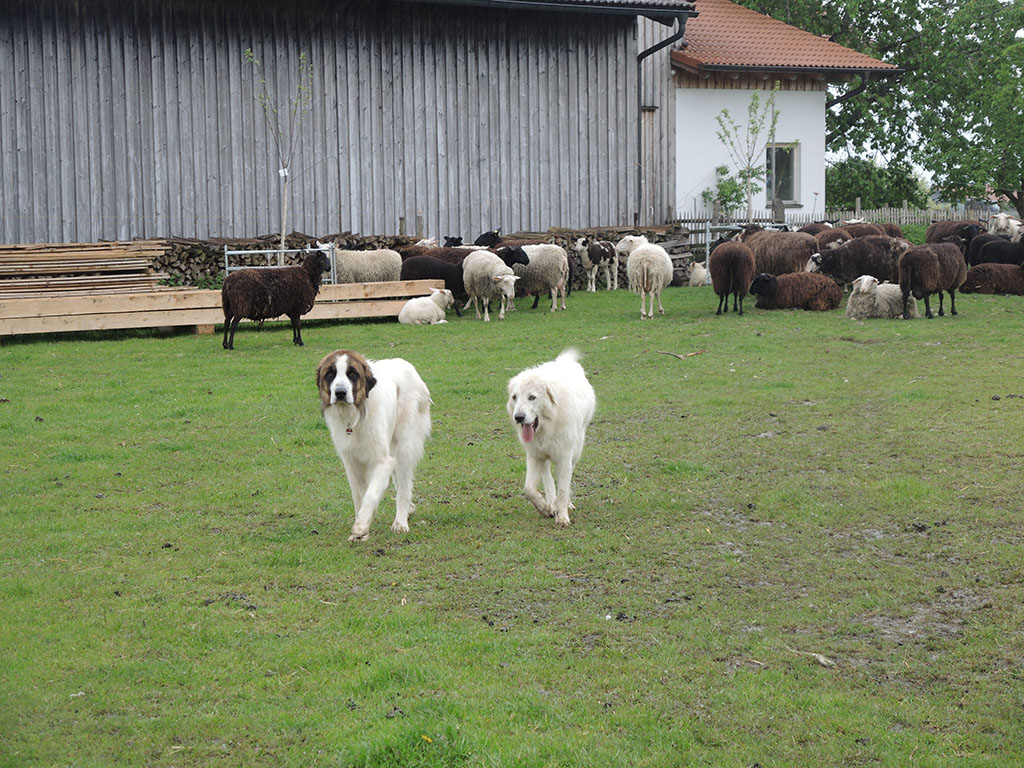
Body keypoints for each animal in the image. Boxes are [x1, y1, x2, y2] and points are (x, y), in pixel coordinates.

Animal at [317, 348, 434, 540]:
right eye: (330, 374)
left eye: (352, 374)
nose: (340, 392)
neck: (353, 417)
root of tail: (407, 365)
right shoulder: (352, 463)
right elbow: (359, 496)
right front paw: (362, 531)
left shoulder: (382, 460)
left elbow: (371, 494)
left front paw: (361, 526)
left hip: (403, 445)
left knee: (403, 484)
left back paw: (401, 522)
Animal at [507, 350, 598, 528]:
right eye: (515, 397)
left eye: (532, 397)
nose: (519, 417)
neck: (548, 425)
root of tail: (564, 361)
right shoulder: (535, 456)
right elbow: (529, 488)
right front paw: (545, 509)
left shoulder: (564, 457)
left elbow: (562, 489)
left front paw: (562, 517)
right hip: (544, 457)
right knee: (548, 480)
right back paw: (550, 504)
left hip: (575, 451)